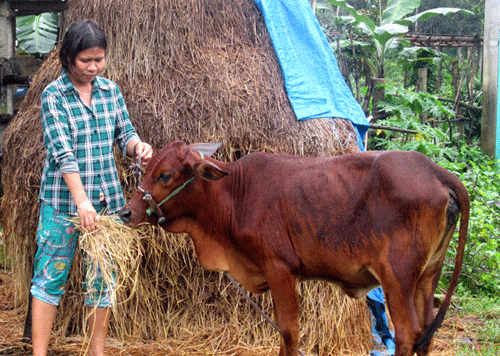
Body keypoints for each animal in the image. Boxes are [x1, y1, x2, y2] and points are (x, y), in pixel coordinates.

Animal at [120, 140, 468, 354]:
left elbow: (289, 331)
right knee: (426, 334)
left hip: (398, 277)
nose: (126, 212)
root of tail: (436, 171)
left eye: (165, 175)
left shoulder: (279, 268)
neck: (235, 194)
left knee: (408, 334)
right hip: (428, 275)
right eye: (146, 169)